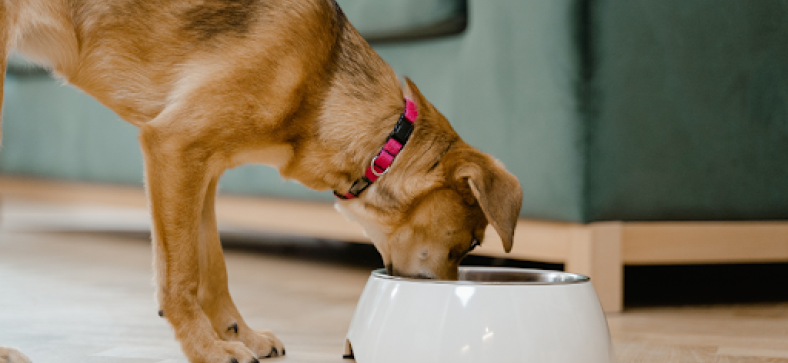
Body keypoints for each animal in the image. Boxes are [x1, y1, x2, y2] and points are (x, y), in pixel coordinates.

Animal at [0, 0, 524, 362]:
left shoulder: (201, 170)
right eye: (471, 244)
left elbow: (212, 268)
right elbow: (181, 275)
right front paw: (207, 350)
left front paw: (238, 334)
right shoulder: (173, 146)